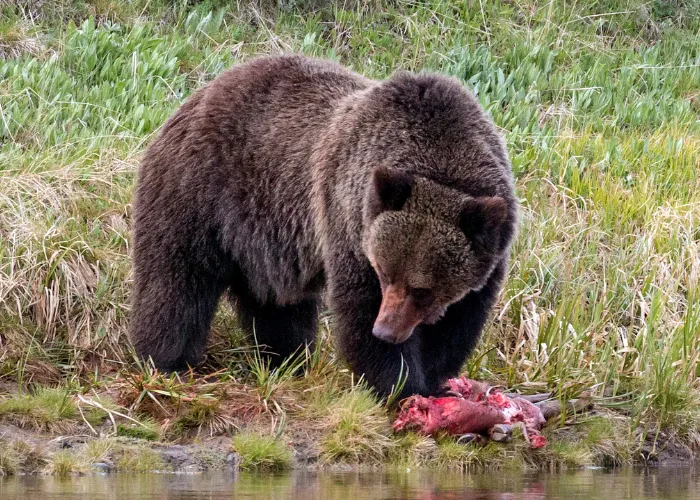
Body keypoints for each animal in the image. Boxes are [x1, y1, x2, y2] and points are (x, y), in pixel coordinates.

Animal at [129, 54, 516, 398]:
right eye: (384, 273)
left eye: (422, 288)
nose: (386, 331)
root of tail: (192, 99)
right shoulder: (348, 220)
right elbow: (358, 308)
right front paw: (399, 387)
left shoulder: (489, 256)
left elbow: (457, 326)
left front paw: (435, 382)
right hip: (200, 192)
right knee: (178, 280)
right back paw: (168, 360)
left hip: (263, 237)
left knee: (276, 305)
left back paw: (285, 360)